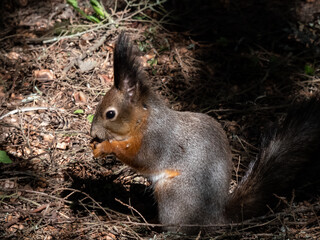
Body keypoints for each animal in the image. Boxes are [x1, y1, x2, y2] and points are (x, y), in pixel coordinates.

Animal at [89, 32, 320, 234]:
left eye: (110, 114)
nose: (93, 132)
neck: (144, 120)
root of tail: (214, 219)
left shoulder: (156, 140)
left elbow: (139, 158)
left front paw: (105, 147)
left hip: (173, 191)